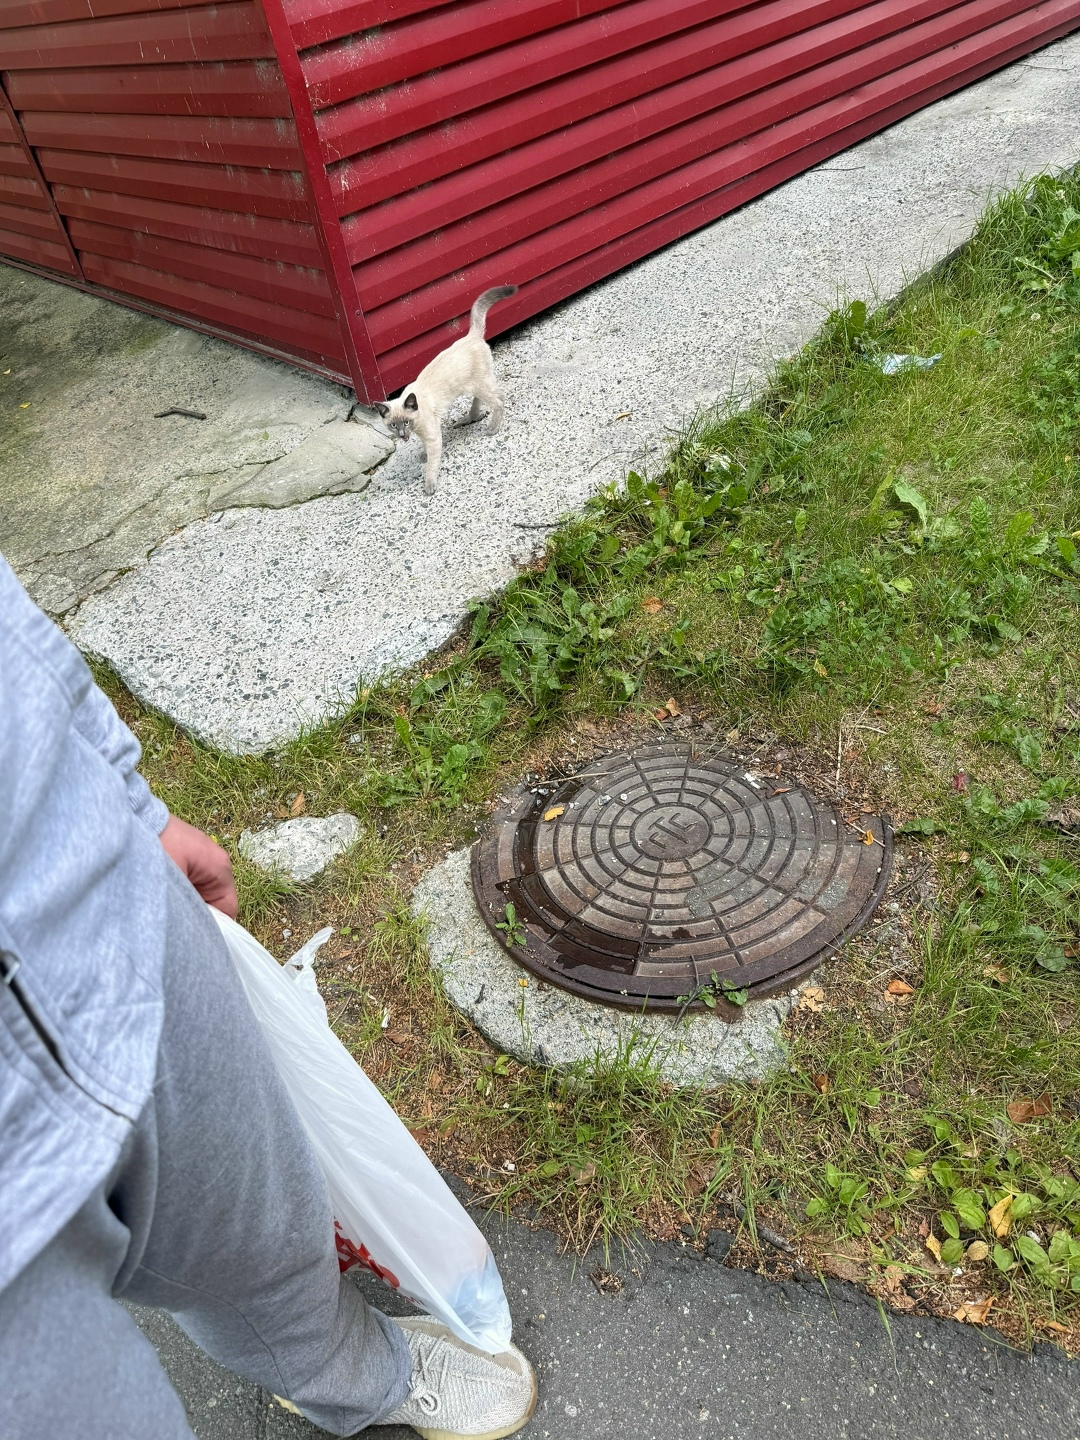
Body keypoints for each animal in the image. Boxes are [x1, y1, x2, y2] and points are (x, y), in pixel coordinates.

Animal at [373, 285, 517, 494]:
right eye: (393, 425)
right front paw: (423, 455)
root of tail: (471, 335)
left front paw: (429, 486)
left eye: (406, 422)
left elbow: (431, 465)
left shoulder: (433, 438)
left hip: (481, 384)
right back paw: (468, 419)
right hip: (473, 385)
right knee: (482, 401)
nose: (401, 435)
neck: (416, 427)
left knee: (499, 399)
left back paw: (492, 428)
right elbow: (425, 450)